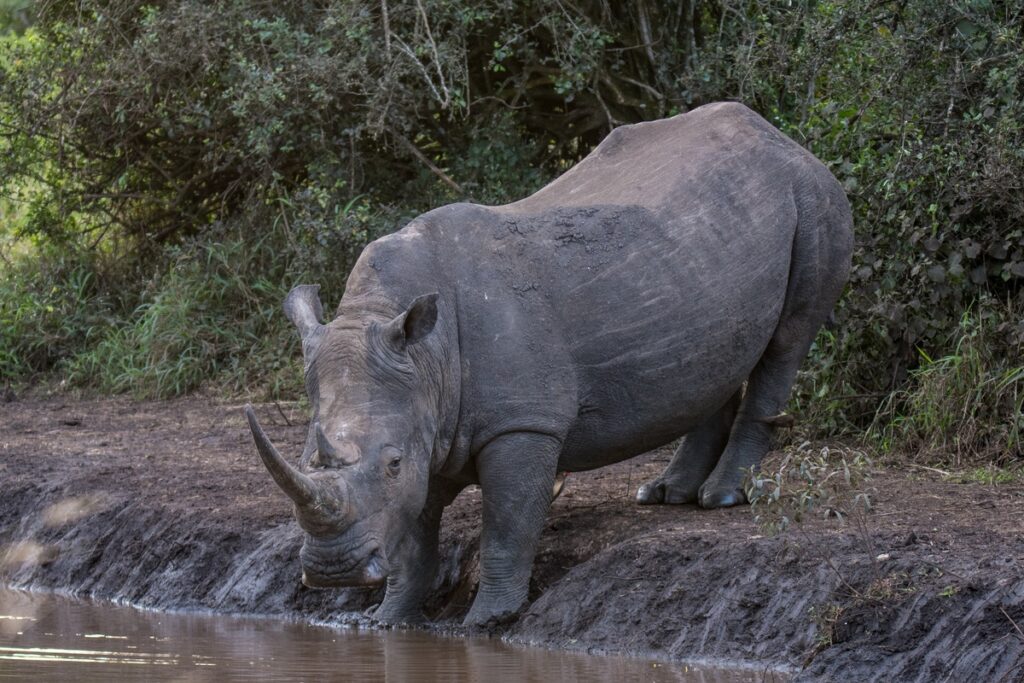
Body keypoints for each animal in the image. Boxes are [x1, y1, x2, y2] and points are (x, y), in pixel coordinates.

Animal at [244, 102, 853, 626]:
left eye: (391, 463)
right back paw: (667, 494)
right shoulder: (425, 421)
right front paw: (388, 621)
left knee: (788, 340)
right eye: (306, 455)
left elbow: (508, 522)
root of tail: (779, 136)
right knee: (719, 348)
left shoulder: (522, 423)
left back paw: (721, 498)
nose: (331, 572)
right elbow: (414, 535)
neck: (424, 357)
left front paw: (488, 621)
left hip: (812, 196)